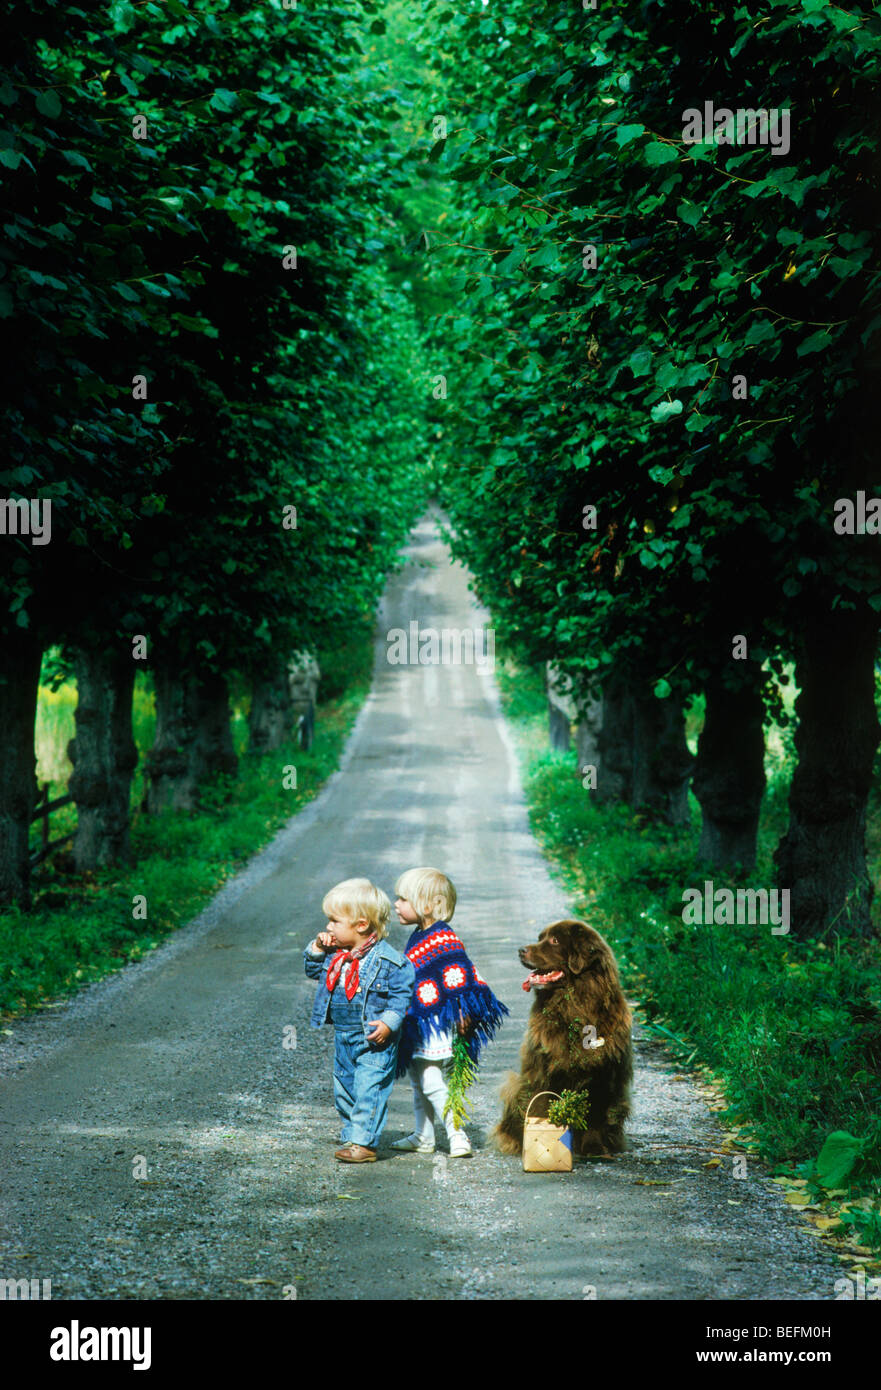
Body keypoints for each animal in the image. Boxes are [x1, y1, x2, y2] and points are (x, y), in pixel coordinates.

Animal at [494, 917, 630, 1156]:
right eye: (540, 938)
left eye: (555, 941)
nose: (521, 950)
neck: (575, 1006)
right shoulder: (545, 1072)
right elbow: (544, 1110)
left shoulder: (602, 1075)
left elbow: (594, 1117)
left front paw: (594, 1149)